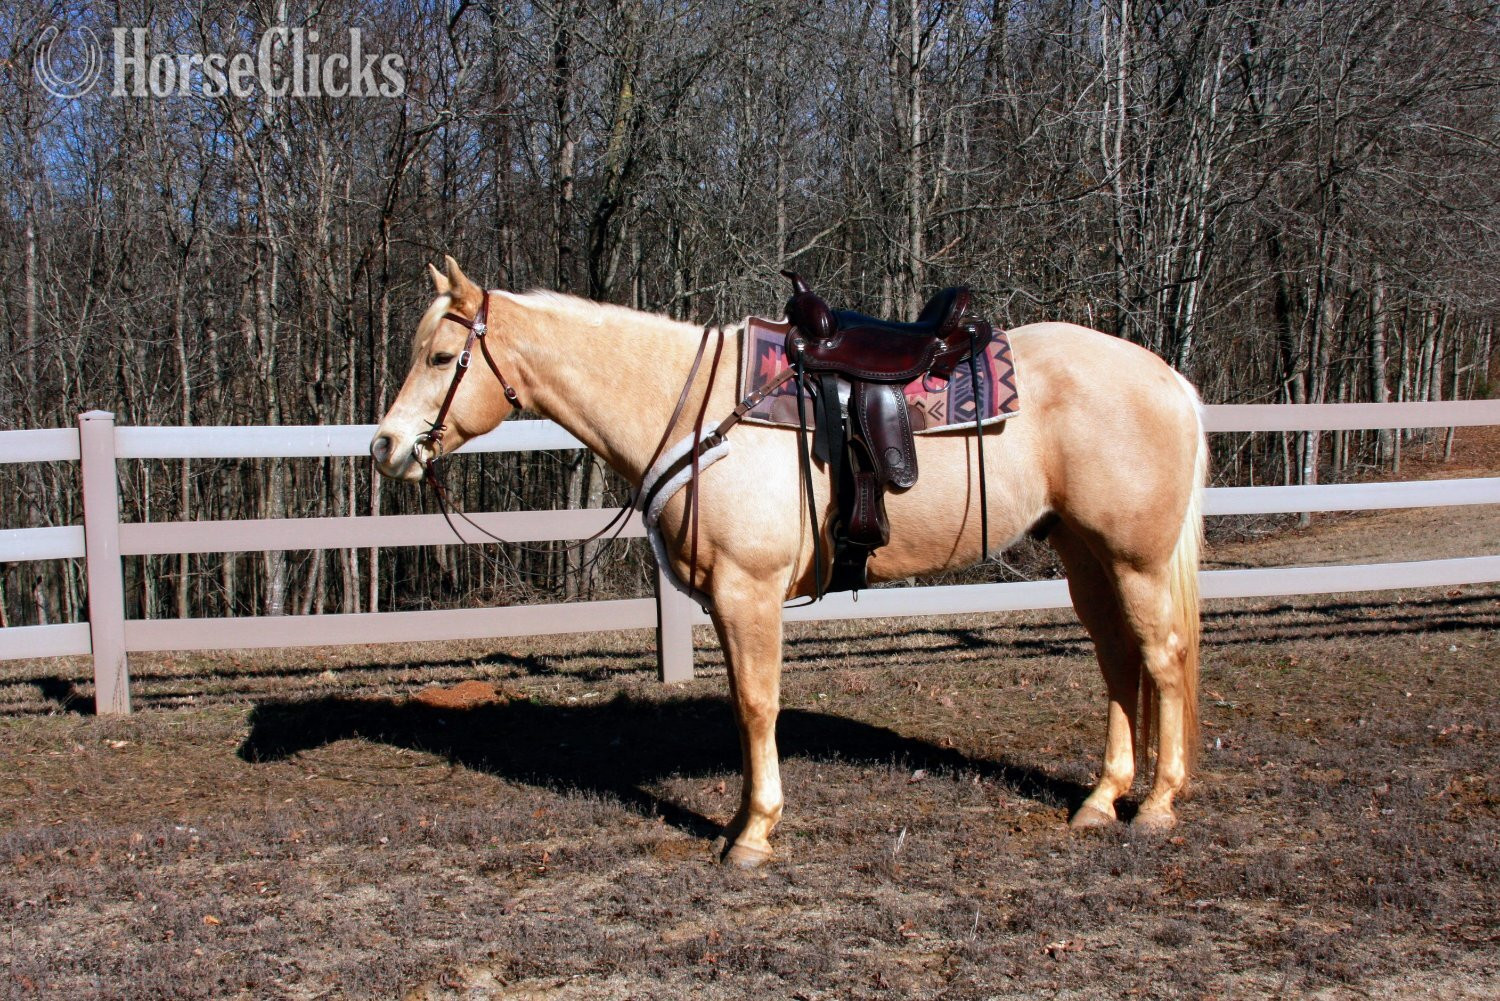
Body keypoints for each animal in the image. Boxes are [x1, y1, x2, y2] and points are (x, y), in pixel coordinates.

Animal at [371, 256, 1207, 867]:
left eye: (441, 356)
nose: (385, 447)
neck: (700, 411)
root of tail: (1168, 378)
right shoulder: (723, 597)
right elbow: (744, 705)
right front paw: (745, 818)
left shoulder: (750, 591)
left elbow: (756, 704)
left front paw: (752, 834)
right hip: (1084, 553)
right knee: (1118, 660)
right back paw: (1100, 799)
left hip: (1133, 557)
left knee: (1162, 658)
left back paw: (1157, 804)